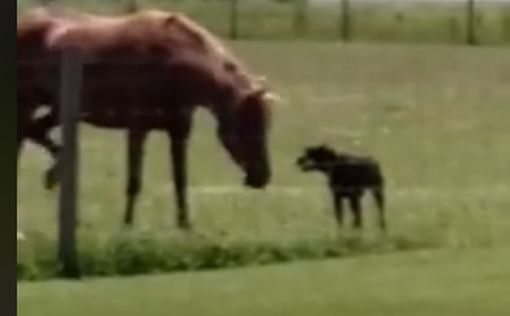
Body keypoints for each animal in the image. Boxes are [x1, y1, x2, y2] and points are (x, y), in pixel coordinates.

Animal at [17, 8, 274, 230]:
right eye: (244, 128)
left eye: (265, 127)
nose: (262, 177)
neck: (168, 61)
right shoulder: (138, 129)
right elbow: (134, 181)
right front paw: (127, 225)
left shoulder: (179, 133)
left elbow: (180, 180)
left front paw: (185, 225)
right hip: (31, 103)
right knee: (30, 131)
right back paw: (56, 170)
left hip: (55, 107)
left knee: (30, 132)